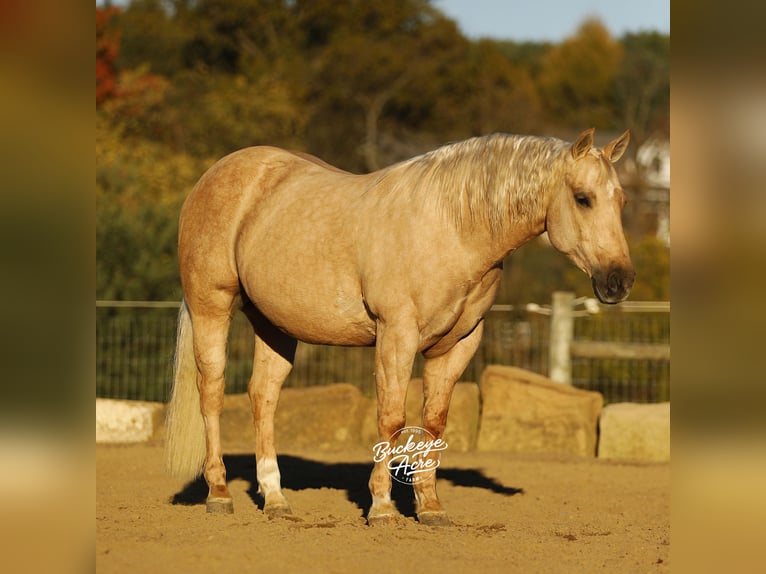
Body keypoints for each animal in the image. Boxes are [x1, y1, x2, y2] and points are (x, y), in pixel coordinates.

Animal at [166, 128, 634, 526]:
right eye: (583, 198)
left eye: (622, 201)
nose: (619, 281)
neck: (452, 228)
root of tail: (216, 175)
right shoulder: (396, 335)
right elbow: (391, 419)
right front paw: (383, 508)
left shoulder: (458, 345)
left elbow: (434, 422)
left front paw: (430, 507)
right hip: (212, 307)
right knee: (212, 394)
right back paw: (219, 494)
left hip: (274, 325)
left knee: (263, 397)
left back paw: (276, 499)